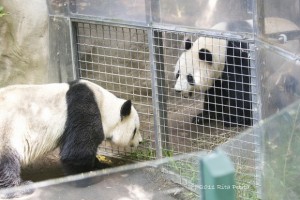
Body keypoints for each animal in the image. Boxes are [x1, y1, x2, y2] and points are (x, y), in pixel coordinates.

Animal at [0, 79, 142, 196]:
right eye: (135, 130)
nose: (140, 142)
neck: (103, 104)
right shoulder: (84, 110)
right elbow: (76, 152)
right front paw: (87, 177)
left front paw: (99, 165)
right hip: (9, 130)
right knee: (7, 161)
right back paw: (20, 188)